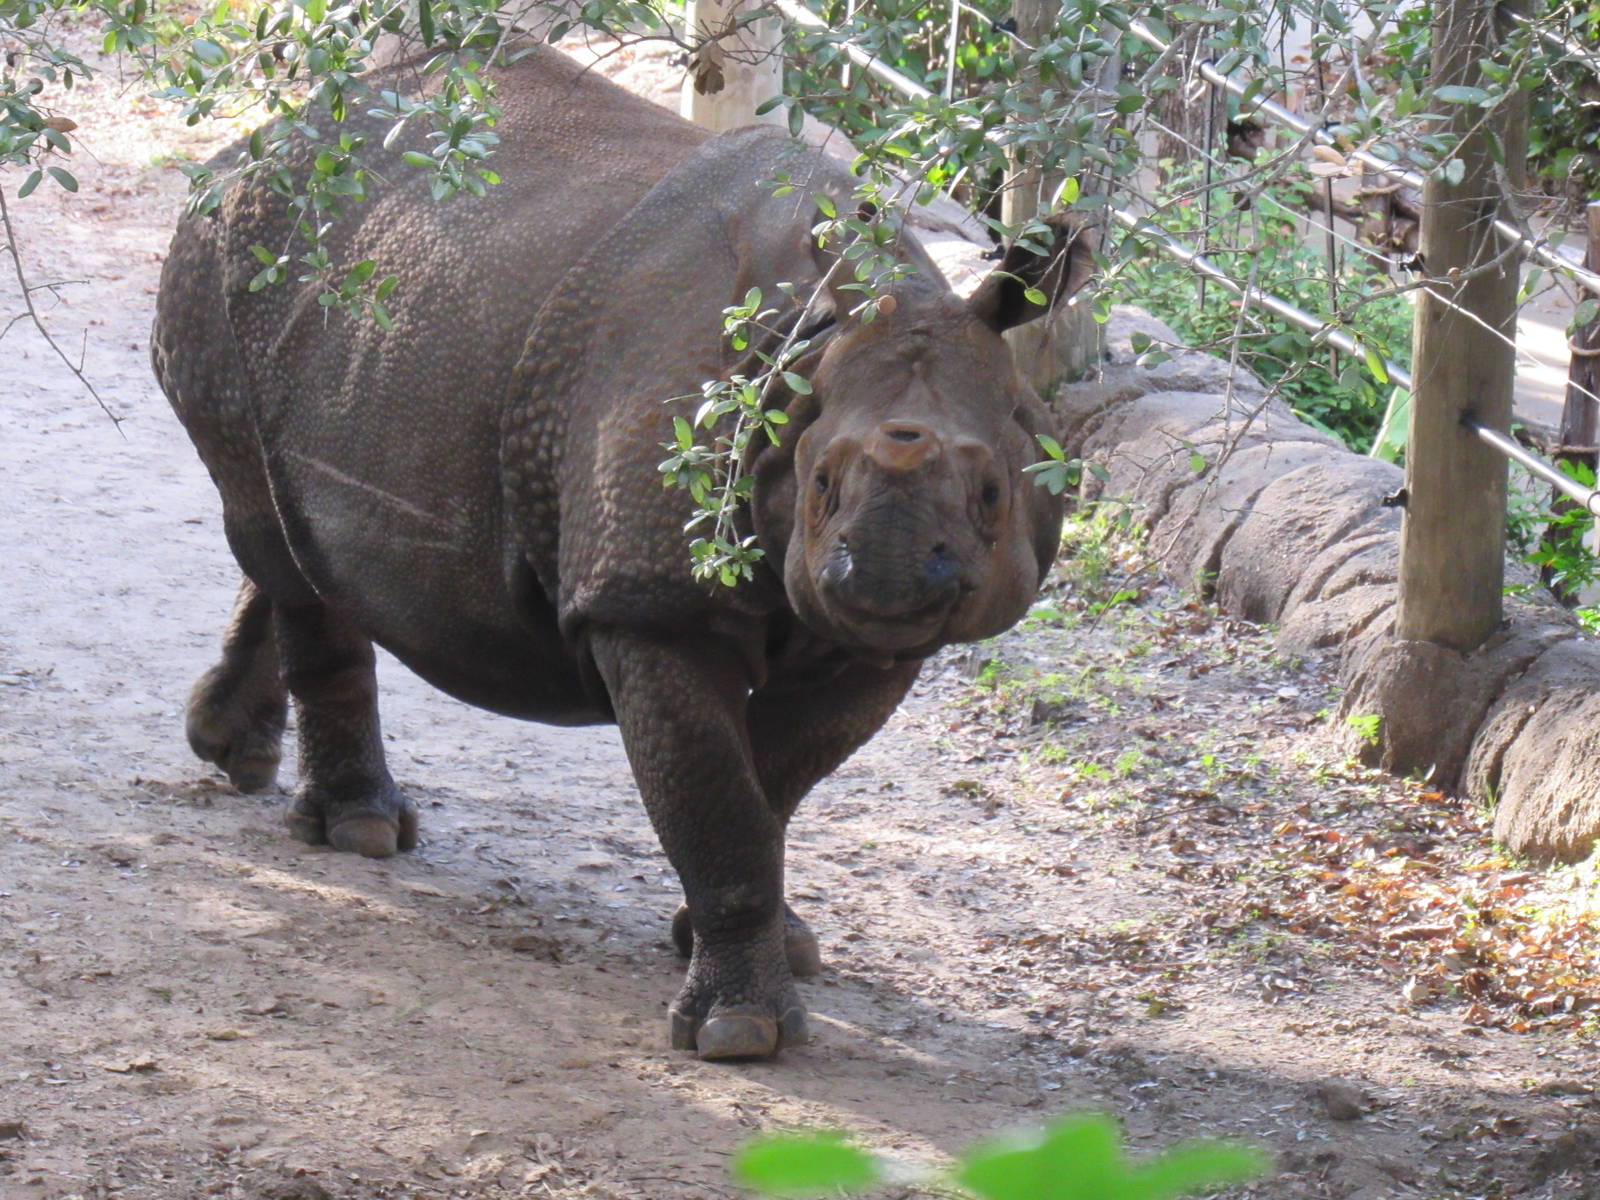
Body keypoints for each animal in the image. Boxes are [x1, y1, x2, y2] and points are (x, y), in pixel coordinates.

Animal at [151, 43, 1094, 1059]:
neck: (805, 349)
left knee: (284, 535)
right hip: (228, 261)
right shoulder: (648, 608)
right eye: (820, 483)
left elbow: (774, 785)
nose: (880, 581)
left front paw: (763, 945)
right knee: (277, 537)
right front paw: (742, 1033)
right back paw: (359, 831)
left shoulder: (876, 651)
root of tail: (263, 141)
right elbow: (721, 799)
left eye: (993, 494)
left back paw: (231, 750)